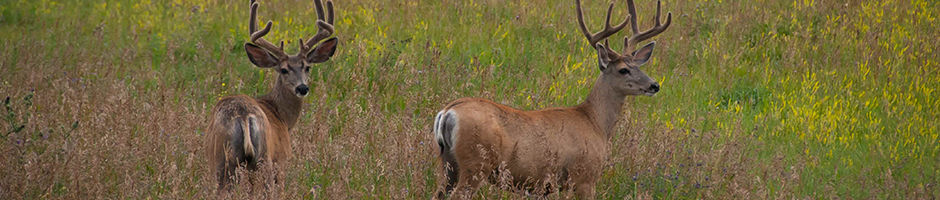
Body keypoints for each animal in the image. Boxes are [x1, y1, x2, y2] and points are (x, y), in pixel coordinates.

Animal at [205, 0, 338, 193]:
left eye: (307, 67)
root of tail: (243, 115)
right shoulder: (281, 158)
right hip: (264, 158)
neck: (282, 117)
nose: (302, 88)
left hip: (221, 160)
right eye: (283, 70)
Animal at [434, 0, 668, 198]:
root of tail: (447, 112)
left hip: (449, 165)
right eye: (623, 70)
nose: (654, 85)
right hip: (475, 163)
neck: (596, 123)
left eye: (639, 66)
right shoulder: (585, 176)